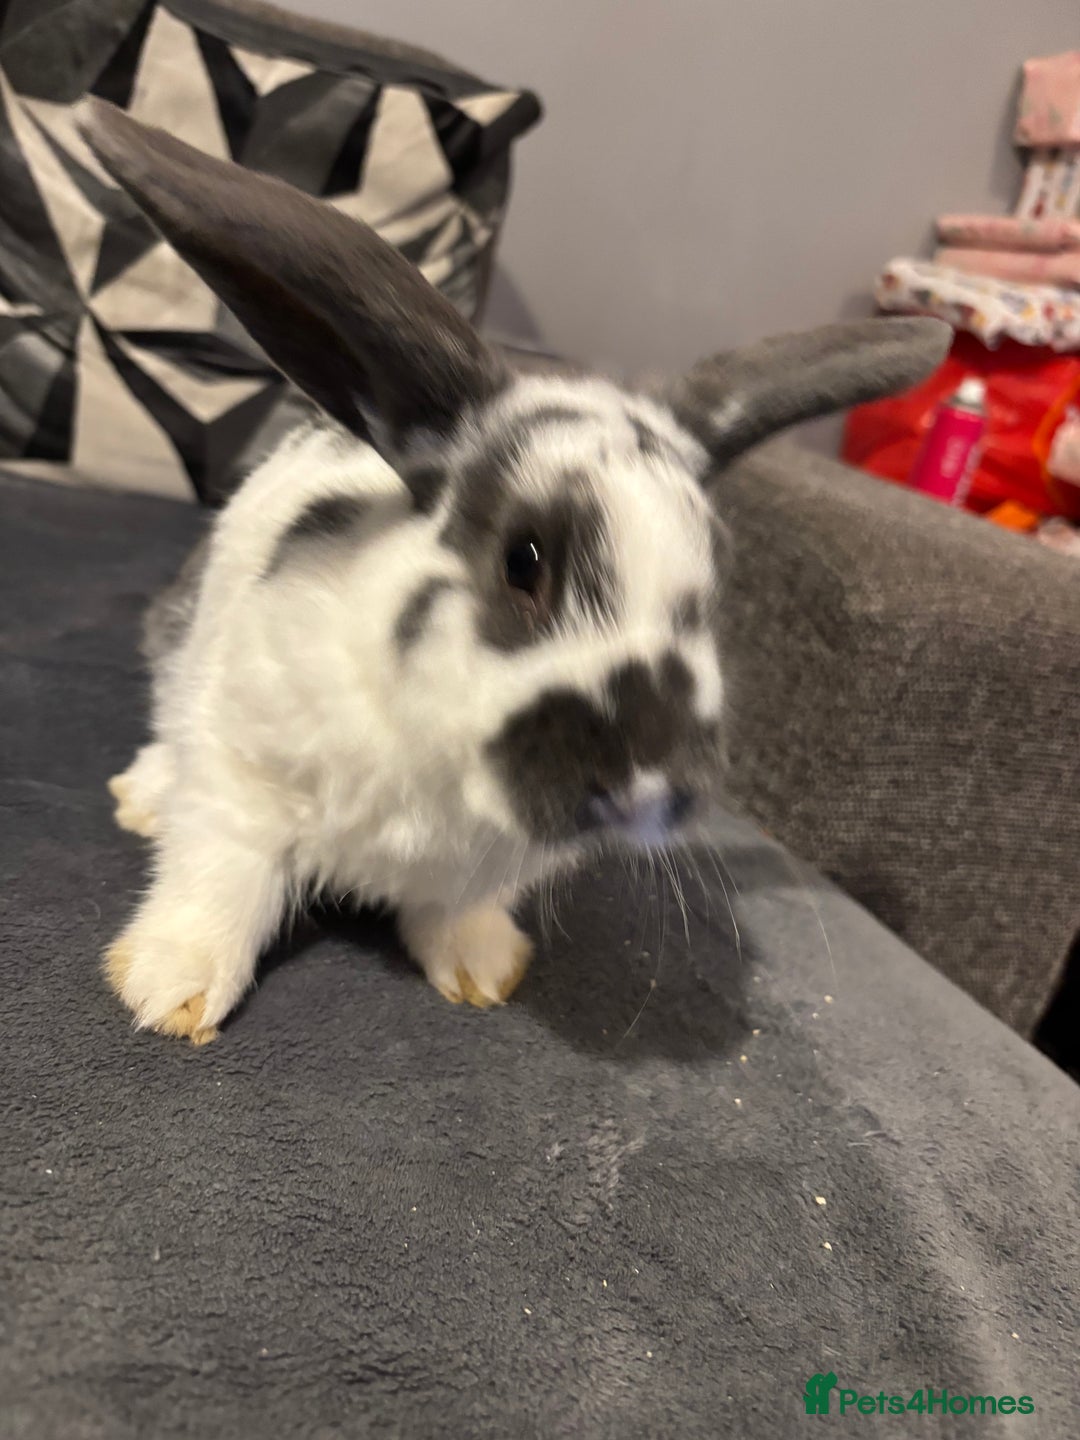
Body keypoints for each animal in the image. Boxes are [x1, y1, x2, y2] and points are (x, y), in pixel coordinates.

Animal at [79, 99, 950, 1045]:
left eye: (714, 590)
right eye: (523, 562)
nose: (647, 791)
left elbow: (454, 912)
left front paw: (481, 972)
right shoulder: (245, 770)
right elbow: (223, 874)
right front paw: (168, 991)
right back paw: (143, 796)